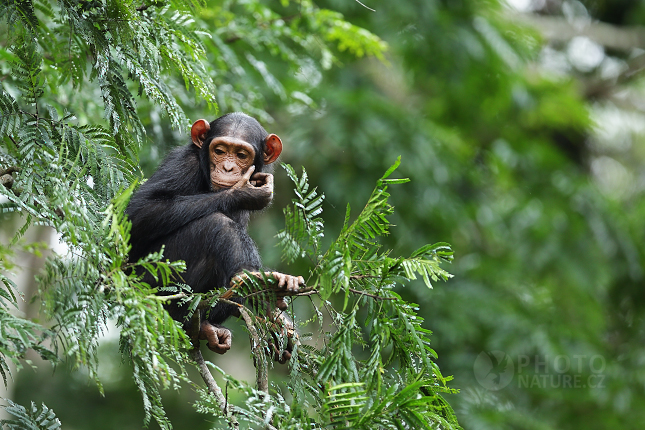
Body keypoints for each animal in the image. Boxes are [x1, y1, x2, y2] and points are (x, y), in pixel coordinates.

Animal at [129, 112, 306, 358]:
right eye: (220, 150)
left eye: (241, 155)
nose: (228, 167)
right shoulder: (183, 164)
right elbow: (141, 211)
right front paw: (242, 192)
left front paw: (280, 320)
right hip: (154, 281)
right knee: (215, 223)